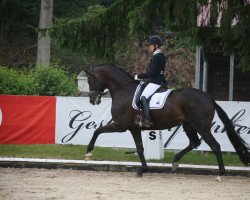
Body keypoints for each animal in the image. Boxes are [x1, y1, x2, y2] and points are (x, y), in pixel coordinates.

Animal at [83, 63, 250, 177]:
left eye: (90, 80)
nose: (92, 100)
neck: (124, 90)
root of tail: (209, 98)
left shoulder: (121, 125)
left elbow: (97, 130)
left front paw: (89, 152)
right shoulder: (134, 128)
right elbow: (140, 148)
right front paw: (143, 170)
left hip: (202, 127)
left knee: (215, 145)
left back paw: (220, 173)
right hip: (189, 125)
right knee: (194, 143)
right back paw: (175, 162)